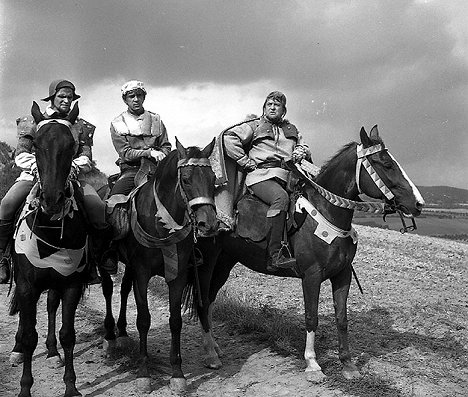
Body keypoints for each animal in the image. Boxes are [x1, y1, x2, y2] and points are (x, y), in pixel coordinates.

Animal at [8, 100, 88, 394]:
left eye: (71, 146)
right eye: (36, 144)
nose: (52, 200)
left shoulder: (70, 283)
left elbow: (68, 334)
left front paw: (71, 386)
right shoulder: (27, 284)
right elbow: (30, 336)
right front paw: (24, 388)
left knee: (52, 307)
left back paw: (52, 353)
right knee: (24, 318)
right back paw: (17, 350)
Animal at [99, 138, 218, 392]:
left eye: (213, 178)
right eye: (186, 179)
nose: (209, 224)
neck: (161, 222)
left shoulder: (177, 275)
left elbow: (175, 321)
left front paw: (177, 374)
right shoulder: (142, 274)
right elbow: (144, 320)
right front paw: (144, 372)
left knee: (124, 290)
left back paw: (122, 334)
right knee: (108, 290)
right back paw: (110, 338)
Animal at [196, 125, 426, 382]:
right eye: (385, 163)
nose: (418, 204)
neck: (327, 212)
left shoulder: (342, 276)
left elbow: (342, 318)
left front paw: (348, 364)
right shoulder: (311, 276)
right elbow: (311, 317)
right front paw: (312, 363)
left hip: (225, 262)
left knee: (210, 300)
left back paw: (215, 347)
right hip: (207, 263)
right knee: (202, 302)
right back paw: (210, 354)